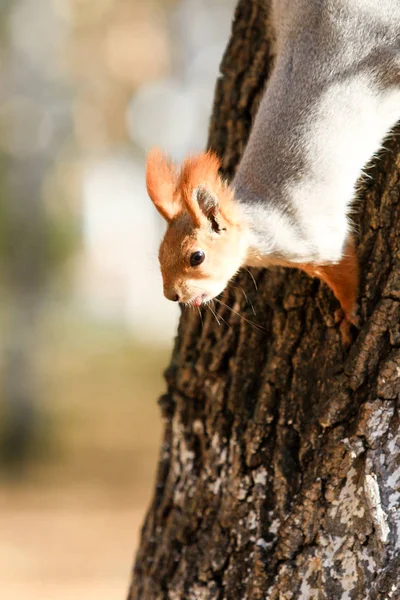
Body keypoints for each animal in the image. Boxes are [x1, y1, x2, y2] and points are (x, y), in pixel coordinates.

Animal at [145, 0, 400, 342]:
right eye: (160, 254)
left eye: (196, 257)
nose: (171, 295)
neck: (258, 225)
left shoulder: (319, 241)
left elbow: (345, 270)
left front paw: (348, 314)